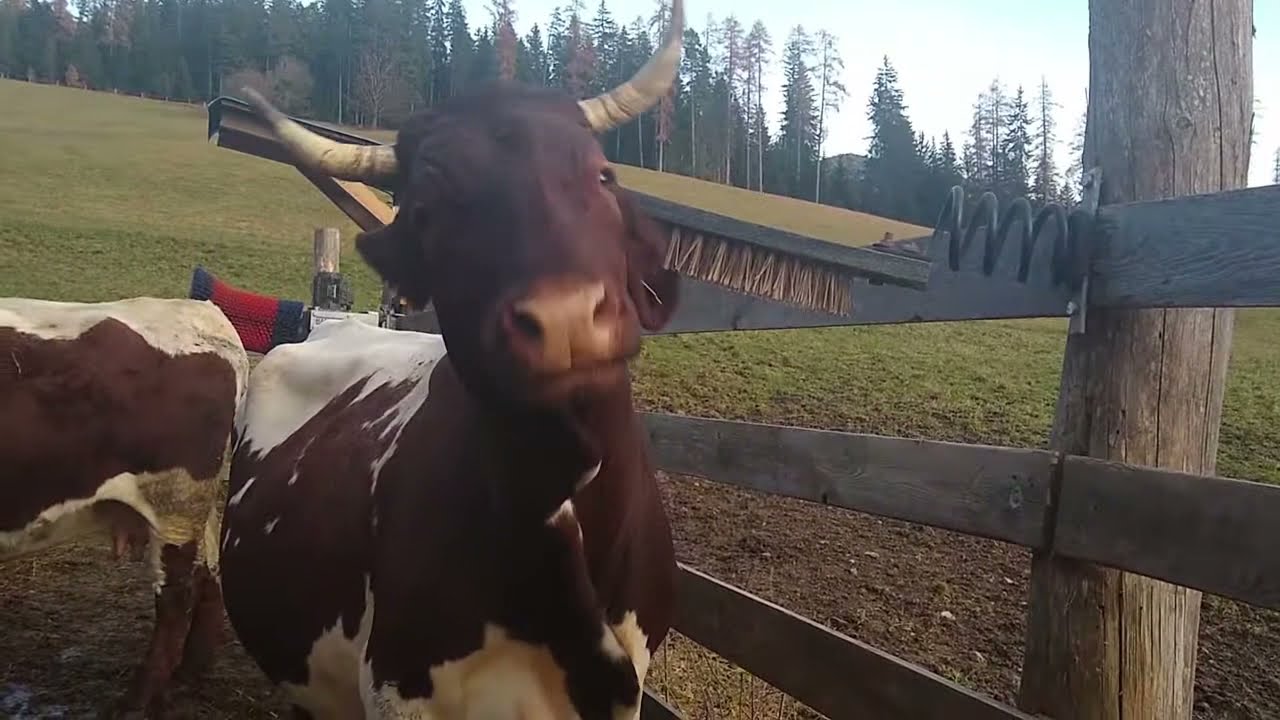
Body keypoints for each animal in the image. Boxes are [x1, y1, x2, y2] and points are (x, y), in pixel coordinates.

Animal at [0, 296, 250, 718]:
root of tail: (205, 312)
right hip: (192, 507)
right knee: (209, 572)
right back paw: (189, 672)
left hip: (175, 505)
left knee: (175, 598)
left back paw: (137, 701)